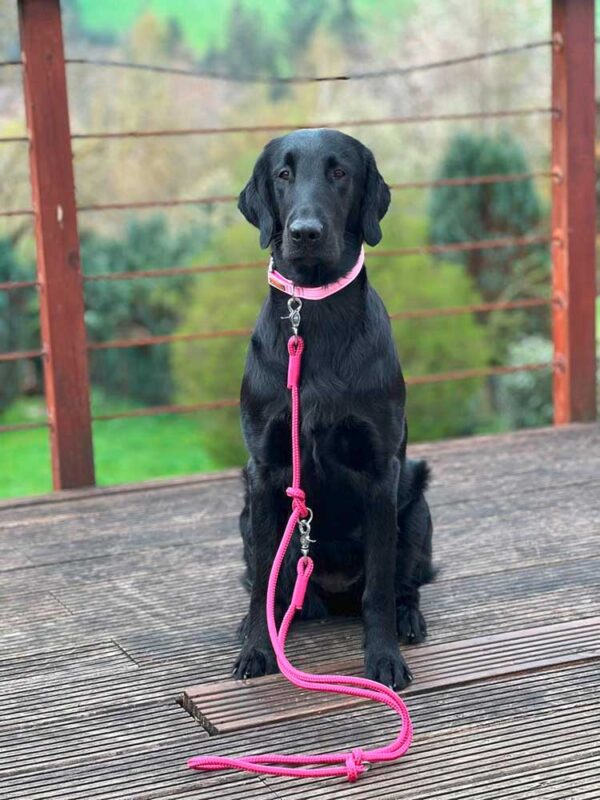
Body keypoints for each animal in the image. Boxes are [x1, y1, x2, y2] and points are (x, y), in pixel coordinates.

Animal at [232, 130, 434, 688]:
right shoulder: (265, 470)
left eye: (340, 172)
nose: (305, 232)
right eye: (283, 174)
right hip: (244, 514)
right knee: (269, 582)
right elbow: (263, 581)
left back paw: (409, 618)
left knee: (404, 583)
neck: (314, 315)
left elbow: (380, 586)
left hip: (418, 507)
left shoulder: (380, 470)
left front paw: (384, 659)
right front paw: (257, 649)